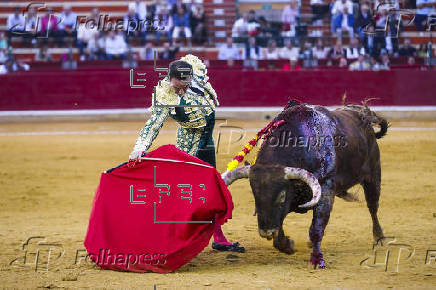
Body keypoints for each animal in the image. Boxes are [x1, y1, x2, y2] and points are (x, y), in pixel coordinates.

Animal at [221, 101, 388, 268]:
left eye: (282, 197)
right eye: (255, 196)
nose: (266, 232)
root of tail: (364, 117)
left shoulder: (325, 189)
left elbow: (316, 228)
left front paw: (317, 260)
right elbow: (280, 230)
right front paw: (288, 245)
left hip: (373, 176)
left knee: (373, 207)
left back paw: (380, 238)